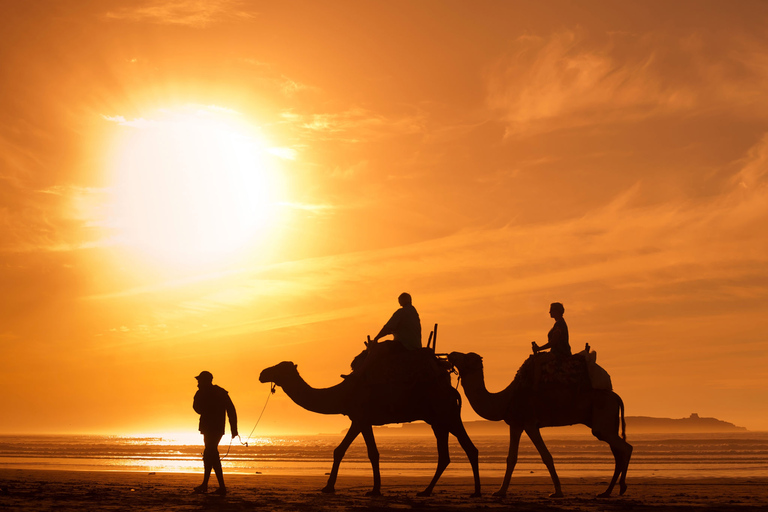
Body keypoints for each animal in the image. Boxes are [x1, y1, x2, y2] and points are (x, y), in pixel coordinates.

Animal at [260, 350, 484, 498]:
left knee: (468, 448)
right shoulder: (357, 419)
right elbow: (339, 450)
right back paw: (426, 491)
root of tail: (452, 391)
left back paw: (476, 491)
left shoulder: (363, 418)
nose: (262, 373)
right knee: (446, 455)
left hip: (447, 414)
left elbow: (372, 453)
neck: (343, 393)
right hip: (437, 420)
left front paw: (375, 490)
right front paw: (328, 487)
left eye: (279, 368)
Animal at [448, 350, 632, 498]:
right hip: (606, 422)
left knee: (626, 448)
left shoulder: (530, 423)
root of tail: (616, 396)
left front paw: (557, 492)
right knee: (618, 452)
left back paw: (622, 487)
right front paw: (500, 492)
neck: (506, 399)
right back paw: (606, 492)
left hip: (603, 419)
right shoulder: (516, 424)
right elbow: (511, 458)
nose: (451, 354)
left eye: (467, 356)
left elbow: (546, 456)